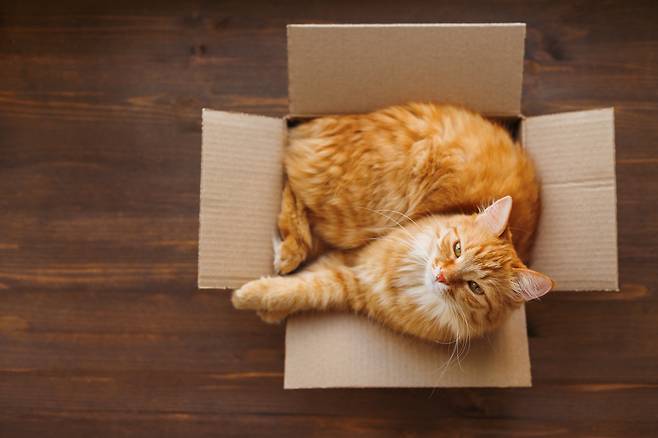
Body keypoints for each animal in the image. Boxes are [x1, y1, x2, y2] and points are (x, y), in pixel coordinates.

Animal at [231, 103, 554, 343]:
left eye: (475, 287)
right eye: (458, 248)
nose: (441, 275)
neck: (412, 283)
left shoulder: (350, 280)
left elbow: (304, 289)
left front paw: (266, 307)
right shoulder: (356, 260)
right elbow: (296, 286)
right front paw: (246, 297)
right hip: (353, 214)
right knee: (293, 180)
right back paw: (288, 252)